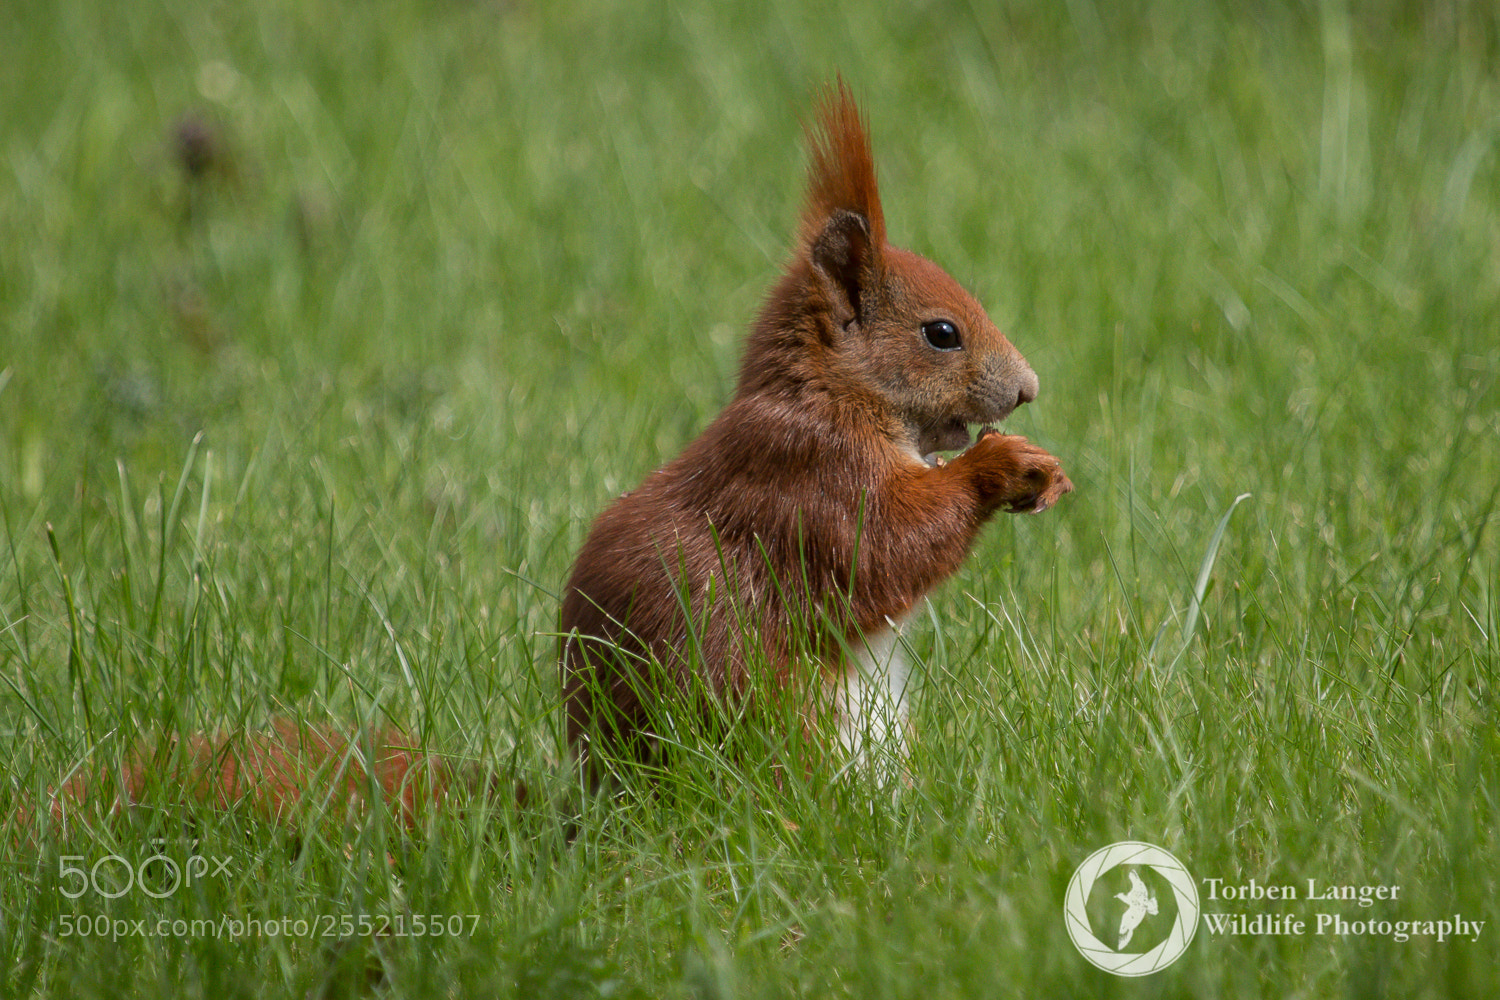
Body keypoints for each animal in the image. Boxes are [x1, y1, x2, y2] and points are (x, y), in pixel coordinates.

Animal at [560, 81, 1071, 784]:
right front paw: (1005, 465)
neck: (832, 396)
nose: (1029, 388)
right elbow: (882, 548)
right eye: (942, 333)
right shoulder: (807, 472)